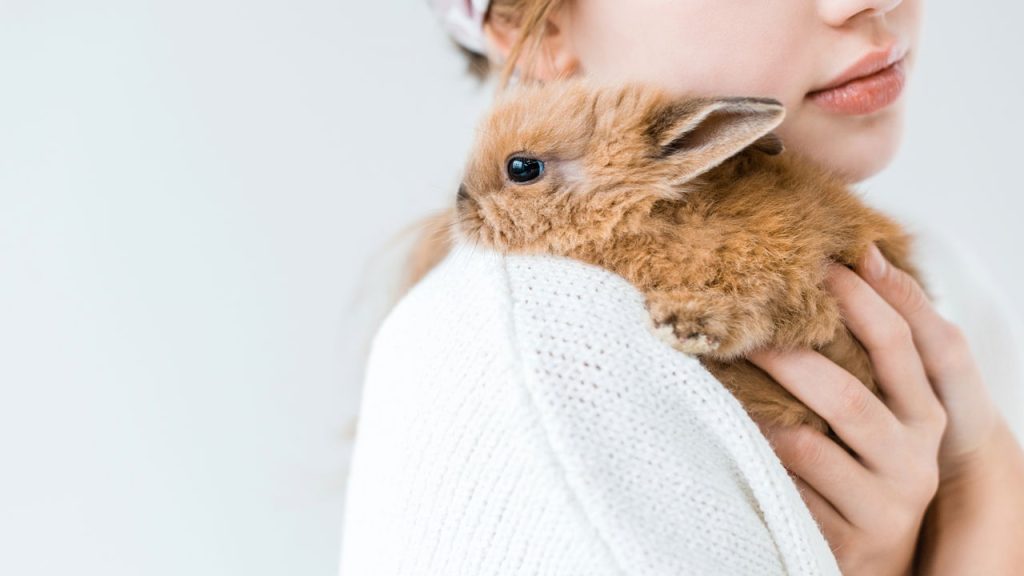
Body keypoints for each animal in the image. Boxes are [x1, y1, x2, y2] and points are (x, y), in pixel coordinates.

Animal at [451, 78, 921, 433]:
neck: (652, 215)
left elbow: (753, 311)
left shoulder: (784, 276)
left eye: (522, 168)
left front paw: (683, 324)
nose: (460, 203)